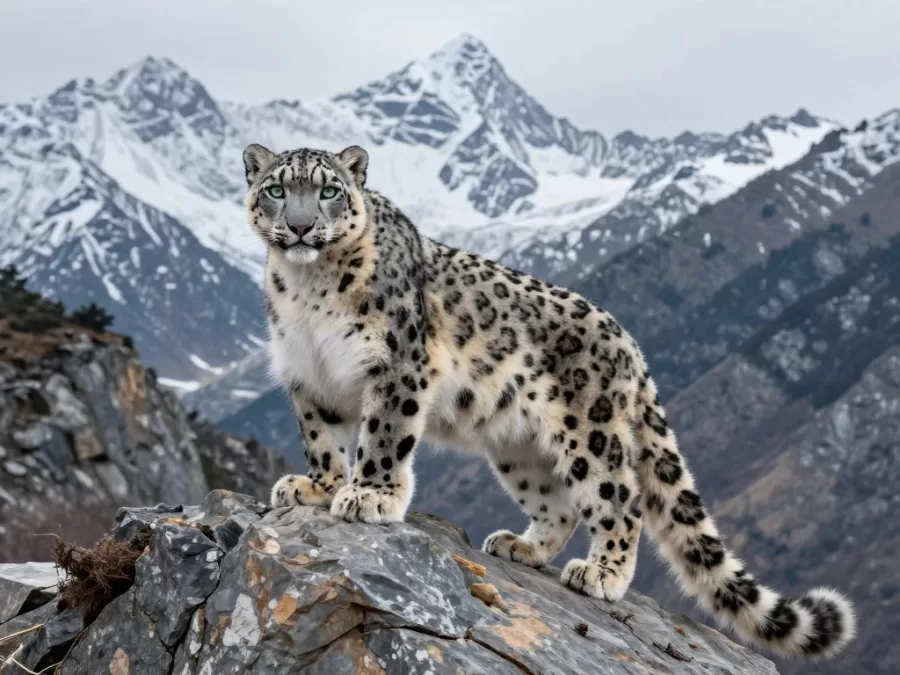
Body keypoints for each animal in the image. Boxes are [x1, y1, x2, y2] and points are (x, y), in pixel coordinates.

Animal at [243, 141, 855, 660]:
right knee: (558, 504)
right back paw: (521, 546)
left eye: (329, 190)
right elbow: (321, 439)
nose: (301, 226)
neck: (309, 290)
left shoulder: (397, 367)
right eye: (276, 189)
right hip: (520, 449)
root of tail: (630, 345)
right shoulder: (308, 375)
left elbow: (384, 436)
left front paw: (368, 495)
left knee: (620, 498)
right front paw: (317, 487)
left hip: (592, 432)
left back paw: (602, 573)